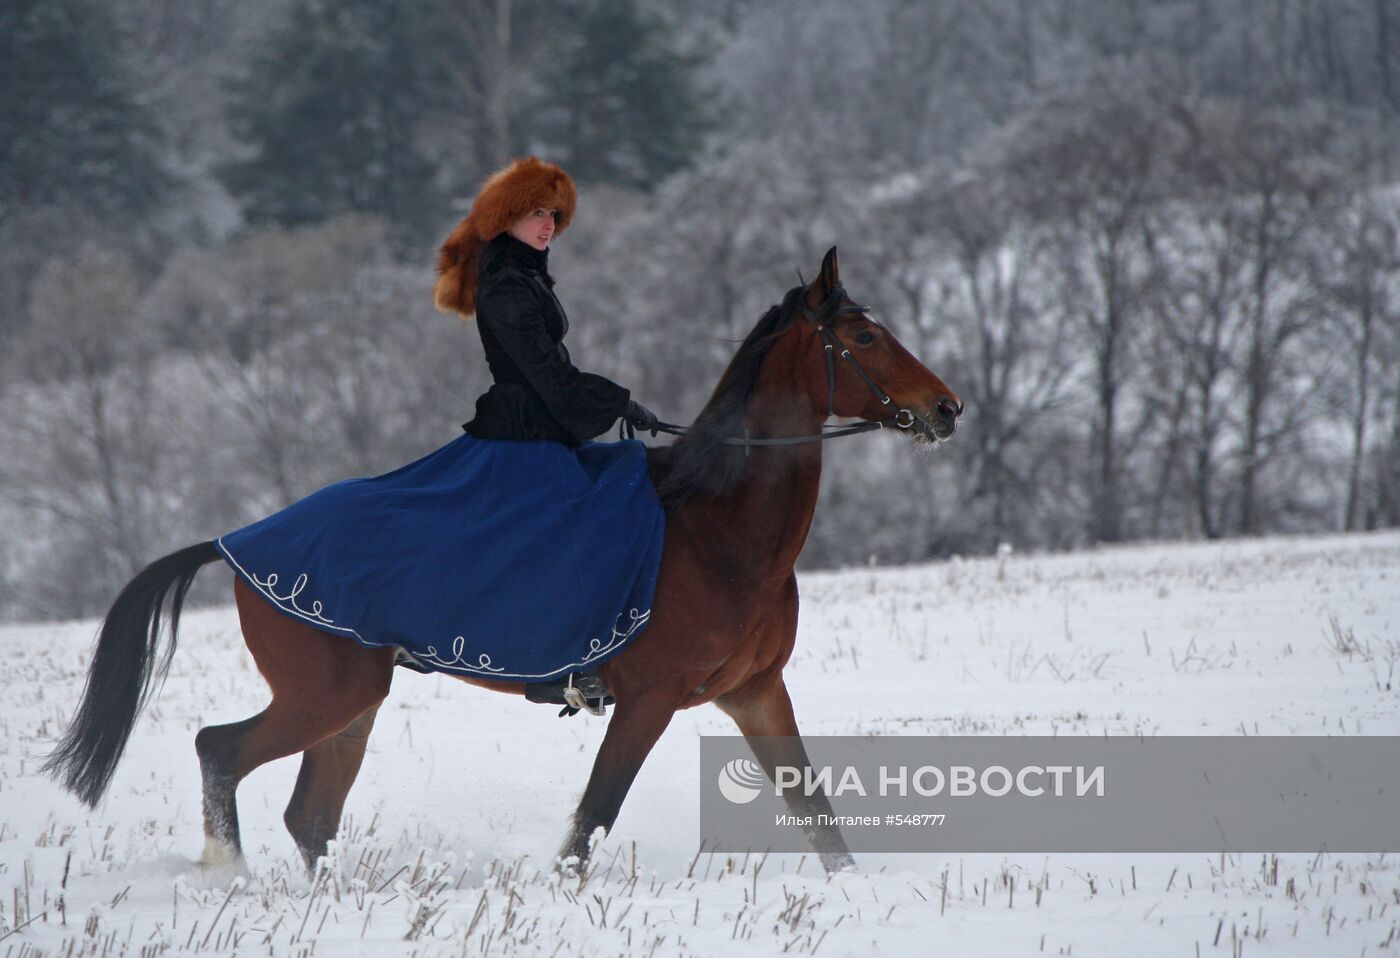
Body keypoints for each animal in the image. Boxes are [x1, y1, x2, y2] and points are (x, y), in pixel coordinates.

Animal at [46, 249, 963, 873]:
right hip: (322, 694)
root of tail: (236, 545)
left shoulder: (755, 692)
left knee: (309, 816)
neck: (719, 530)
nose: (947, 408)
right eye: (864, 335)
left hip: (352, 704)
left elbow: (817, 813)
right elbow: (590, 821)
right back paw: (227, 877)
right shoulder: (650, 701)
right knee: (220, 753)